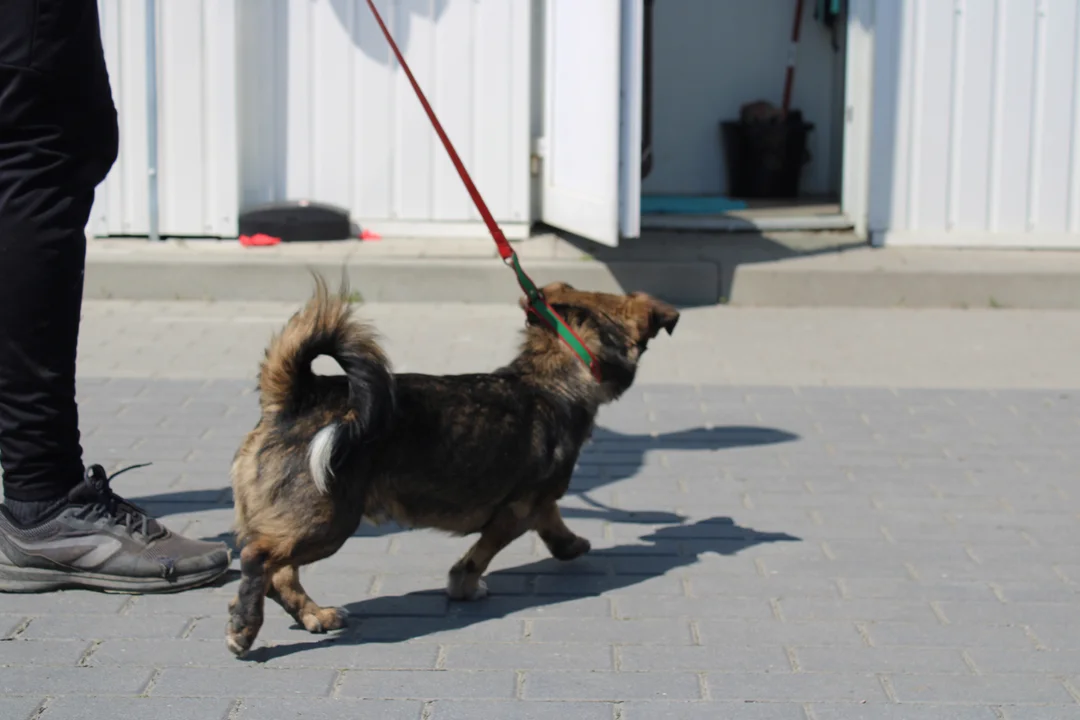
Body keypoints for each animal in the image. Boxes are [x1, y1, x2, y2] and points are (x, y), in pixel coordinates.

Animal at [224, 278, 678, 660]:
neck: (549, 380)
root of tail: (296, 399)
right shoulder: (516, 511)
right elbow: (480, 554)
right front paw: (465, 586)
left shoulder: (538, 502)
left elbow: (554, 526)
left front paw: (571, 545)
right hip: (329, 520)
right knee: (258, 558)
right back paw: (244, 629)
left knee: (281, 574)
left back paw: (313, 615)